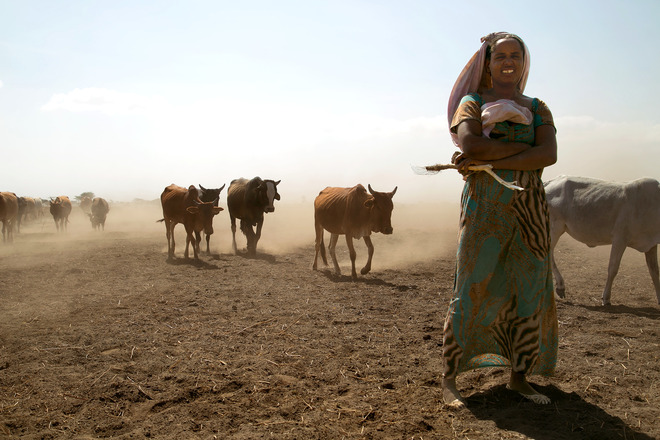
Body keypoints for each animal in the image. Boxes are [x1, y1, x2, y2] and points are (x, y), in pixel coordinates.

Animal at [544, 175, 660, 306]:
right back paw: (560, 285)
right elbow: (613, 268)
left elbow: (654, 271)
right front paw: (606, 298)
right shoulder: (620, 238)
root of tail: (550, 182)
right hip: (554, 227)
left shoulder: (651, 244)